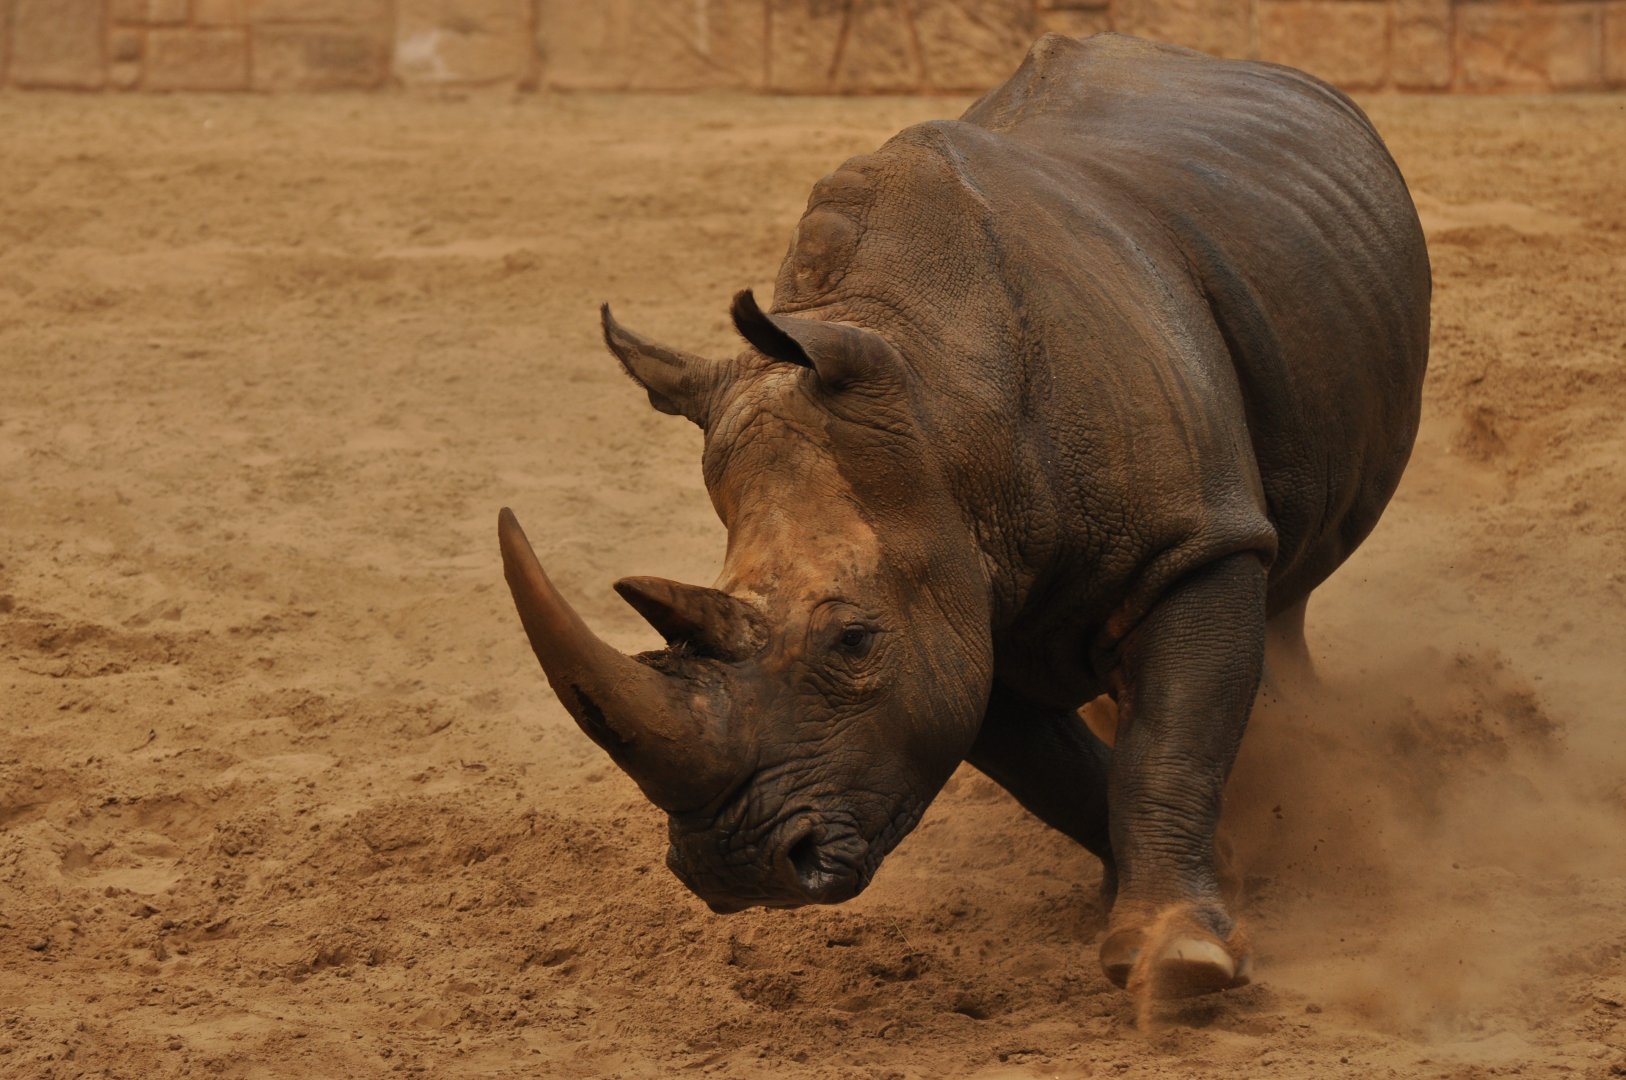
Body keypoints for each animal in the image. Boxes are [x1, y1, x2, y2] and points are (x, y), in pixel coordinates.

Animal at [499, 32, 1429, 997]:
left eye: (853, 641)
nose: (739, 867)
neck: (941, 405)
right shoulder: (957, 622)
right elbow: (1062, 775)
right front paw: (1175, 890)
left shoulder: (1190, 543)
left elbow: (1170, 747)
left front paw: (1180, 959)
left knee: (1281, 578)